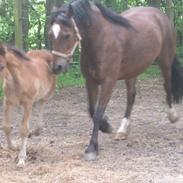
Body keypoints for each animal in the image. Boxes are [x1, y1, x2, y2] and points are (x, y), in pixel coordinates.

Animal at [48, 0, 183, 160]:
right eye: (51, 34)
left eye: (67, 35)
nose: (57, 67)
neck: (101, 39)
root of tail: (160, 15)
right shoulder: (90, 81)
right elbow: (92, 110)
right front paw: (106, 127)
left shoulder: (108, 82)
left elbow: (98, 113)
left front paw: (92, 148)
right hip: (132, 70)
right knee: (131, 96)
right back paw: (123, 130)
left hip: (165, 62)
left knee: (167, 86)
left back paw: (172, 115)